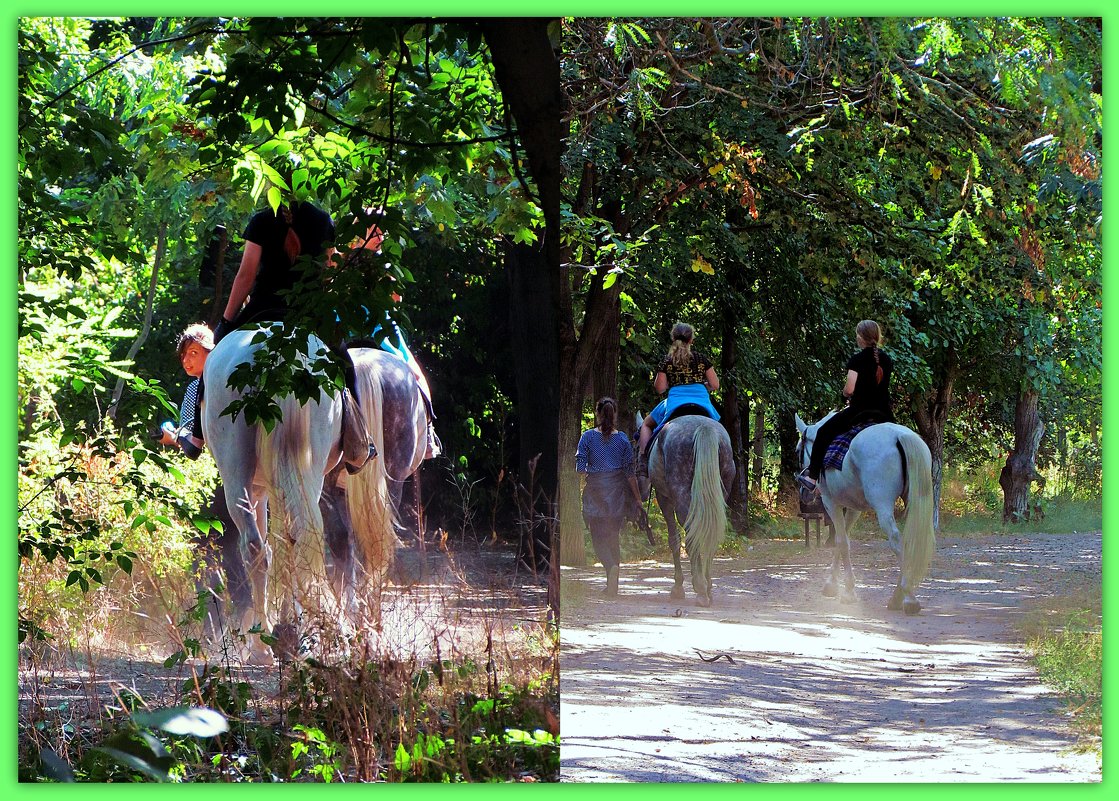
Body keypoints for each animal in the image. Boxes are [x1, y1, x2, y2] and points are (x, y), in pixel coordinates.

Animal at [203, 322, 396, 662]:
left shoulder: (261, 488)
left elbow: (278, 542)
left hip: (243, 474)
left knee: (258, 546)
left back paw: (268, 641)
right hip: (303, 470)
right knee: (296, 538)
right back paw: (285, 636)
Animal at [792, 413, 939, 613]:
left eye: (798, 451)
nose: (804, 492)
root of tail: (900, 435)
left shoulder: (831, 503)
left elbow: (842, 542)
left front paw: (848, 592)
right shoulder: (854, 508)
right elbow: (841, 541)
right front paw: (832, 585)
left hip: (882, 505)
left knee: (896, 540)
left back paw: (907, 597)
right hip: (916, 501)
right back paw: (897, 597)